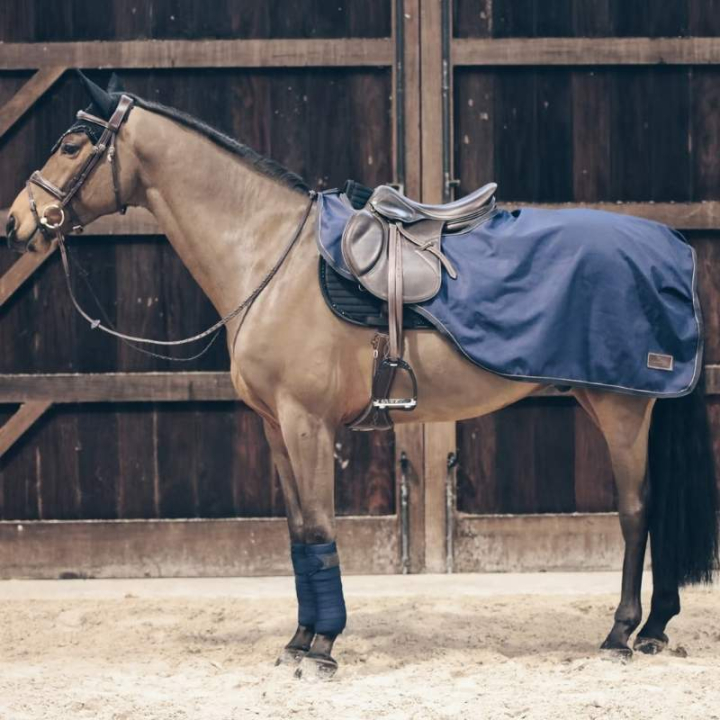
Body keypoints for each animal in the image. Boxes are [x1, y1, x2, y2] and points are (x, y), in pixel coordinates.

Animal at [6, 73, 718, 679]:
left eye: (71, 144)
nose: (17, 221)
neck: (272, 255)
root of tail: (672, 246)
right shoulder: (275, 428)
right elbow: (299, 533)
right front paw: (298, 641)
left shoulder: (307, 423)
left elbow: (321, 528)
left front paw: (322, 647)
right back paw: (655, 628)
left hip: (622, 409)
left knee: (636, 511)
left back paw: (620, 634)